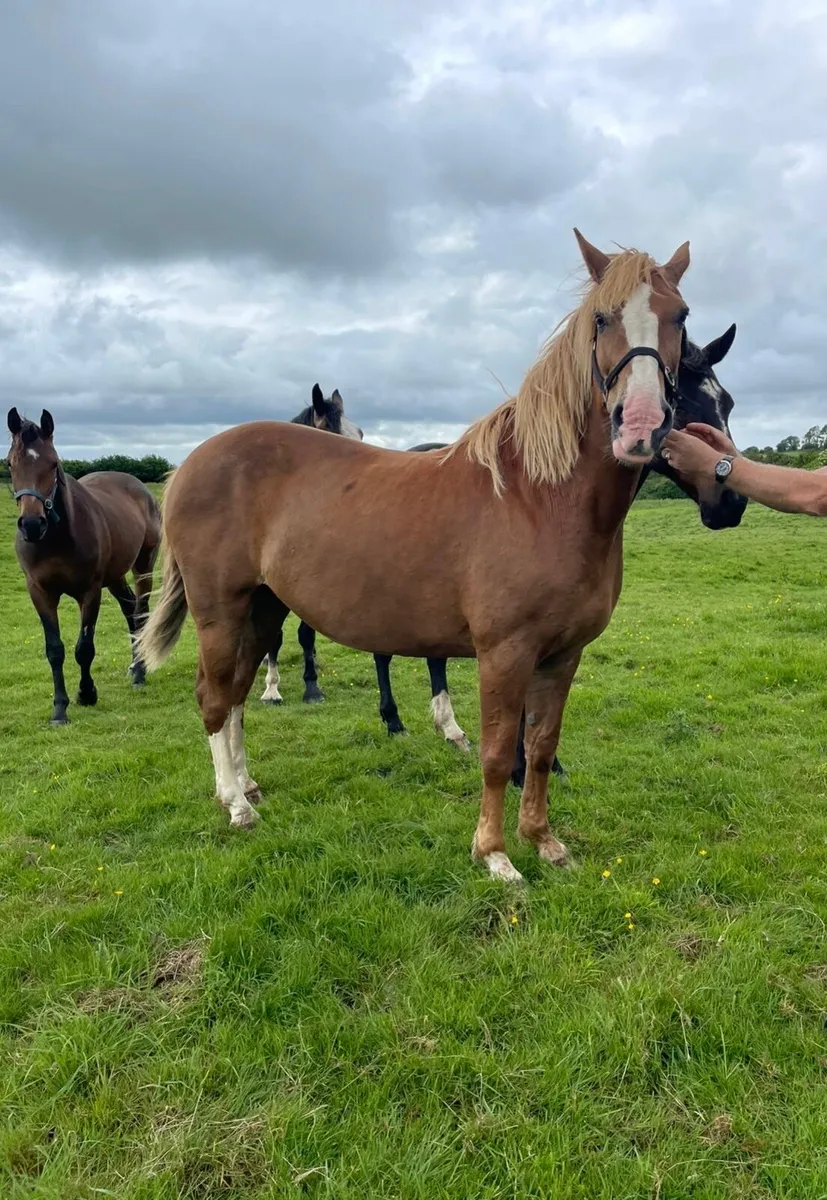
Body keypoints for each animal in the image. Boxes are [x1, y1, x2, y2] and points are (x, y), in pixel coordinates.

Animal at [6, 408, 161, 725]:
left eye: (53, 464)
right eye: (9, 463)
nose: (31, 524)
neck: (57, 538)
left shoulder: (90, 592)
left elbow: (84, 647)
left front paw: (87, 693)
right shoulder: (40, 592)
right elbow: (55, 649)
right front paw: (59, 709)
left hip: (143, 567)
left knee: (140, 612)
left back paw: (139, 672)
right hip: (115, 576)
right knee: (130, 609)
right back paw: (133, 666)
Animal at [372, 322, 748, 783]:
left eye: (726, 402)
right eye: (680, 404)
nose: (730, 503)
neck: (548, 494)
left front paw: (546, 764)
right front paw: (520, 769)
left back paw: (451, 731)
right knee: (384, 652)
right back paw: (395, 721)